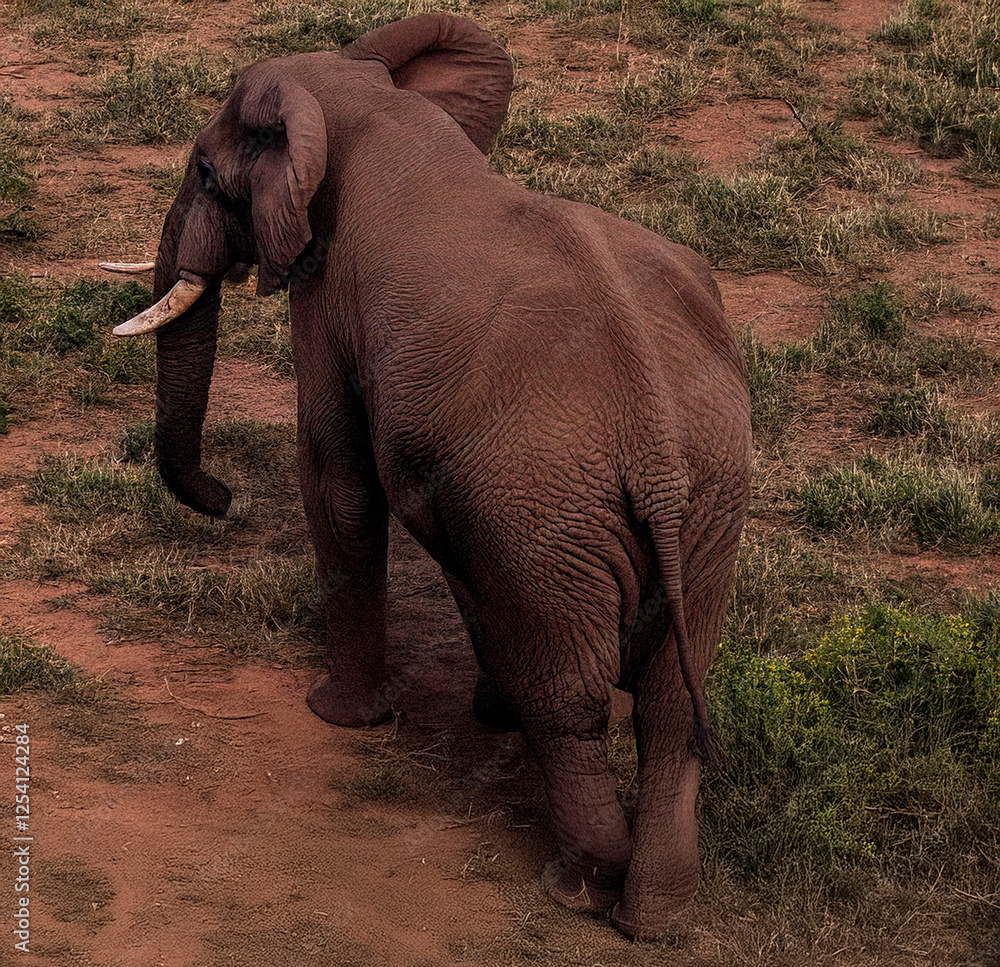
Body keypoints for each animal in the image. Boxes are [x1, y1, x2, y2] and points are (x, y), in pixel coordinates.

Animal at [108, 14, 751, 940]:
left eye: (203, 170)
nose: (223, 499)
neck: (364, 104)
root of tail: (659, 460)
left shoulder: (326, 292)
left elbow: (335, 478)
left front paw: (340, 716)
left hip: (550, 508)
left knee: (571, 700)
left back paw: (578, 885)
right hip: (701, 510)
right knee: (668, 703)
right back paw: (654, 917)